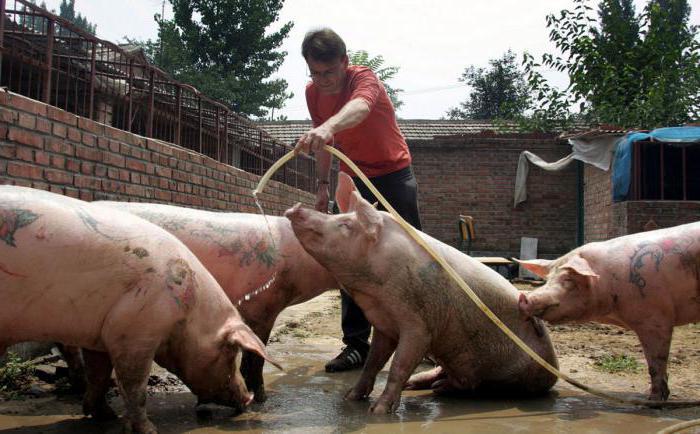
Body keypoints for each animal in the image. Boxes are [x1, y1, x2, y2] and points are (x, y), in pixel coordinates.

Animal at [0, 187, 278, 434]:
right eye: (231, 353)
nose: (248, 398)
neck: (189, 312)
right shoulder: (133, 332)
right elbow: (134, 386)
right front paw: (149, 430)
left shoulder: (99, 335)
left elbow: (99, 375)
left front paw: (104, 416)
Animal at [284, 173, 556, 414]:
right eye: (338, 214)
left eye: (345, 224)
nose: (295, 209)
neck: (375, 293)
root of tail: (553, 369)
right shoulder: (384, 326)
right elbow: (372, 363)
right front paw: (350, 397)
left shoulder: (421, 326)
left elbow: (399, 365)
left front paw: (378, 411)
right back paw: (424, 385)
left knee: (471, 386)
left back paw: (434, 387)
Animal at [516, 222, 700, 402]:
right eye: (547, 280)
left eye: (568, 279)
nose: (524, 296)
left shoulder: (656, 318)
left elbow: (655, 362)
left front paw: (652, 400)